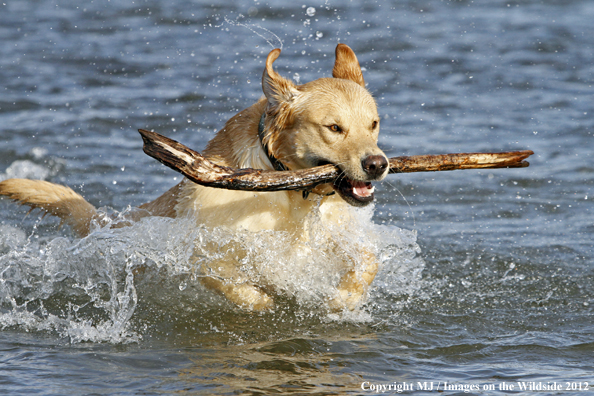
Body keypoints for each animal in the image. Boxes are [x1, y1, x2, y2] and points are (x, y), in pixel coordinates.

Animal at [0, 44, 388, 310]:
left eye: (373, 123)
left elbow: (368, 259)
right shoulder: (202, 252)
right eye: (334, 128)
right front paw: (266, 303)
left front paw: (343, 300)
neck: (292, 194)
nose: (378, 164)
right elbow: (236, 283)